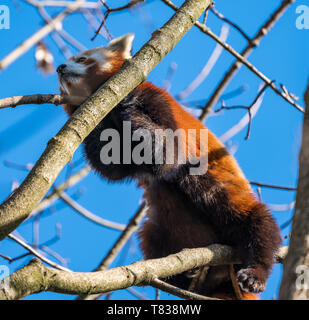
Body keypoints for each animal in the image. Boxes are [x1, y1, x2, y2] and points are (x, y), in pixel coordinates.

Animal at [56, 33, 280, 298]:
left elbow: (167, 152)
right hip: (162, 229)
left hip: (219, 192)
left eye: (81, 58)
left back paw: (255, 273)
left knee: (256, 222)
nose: (60, 67)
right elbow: (113, 166)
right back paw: (184, 276)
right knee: (151, 236)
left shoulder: (155, 100)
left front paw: (128, 106)